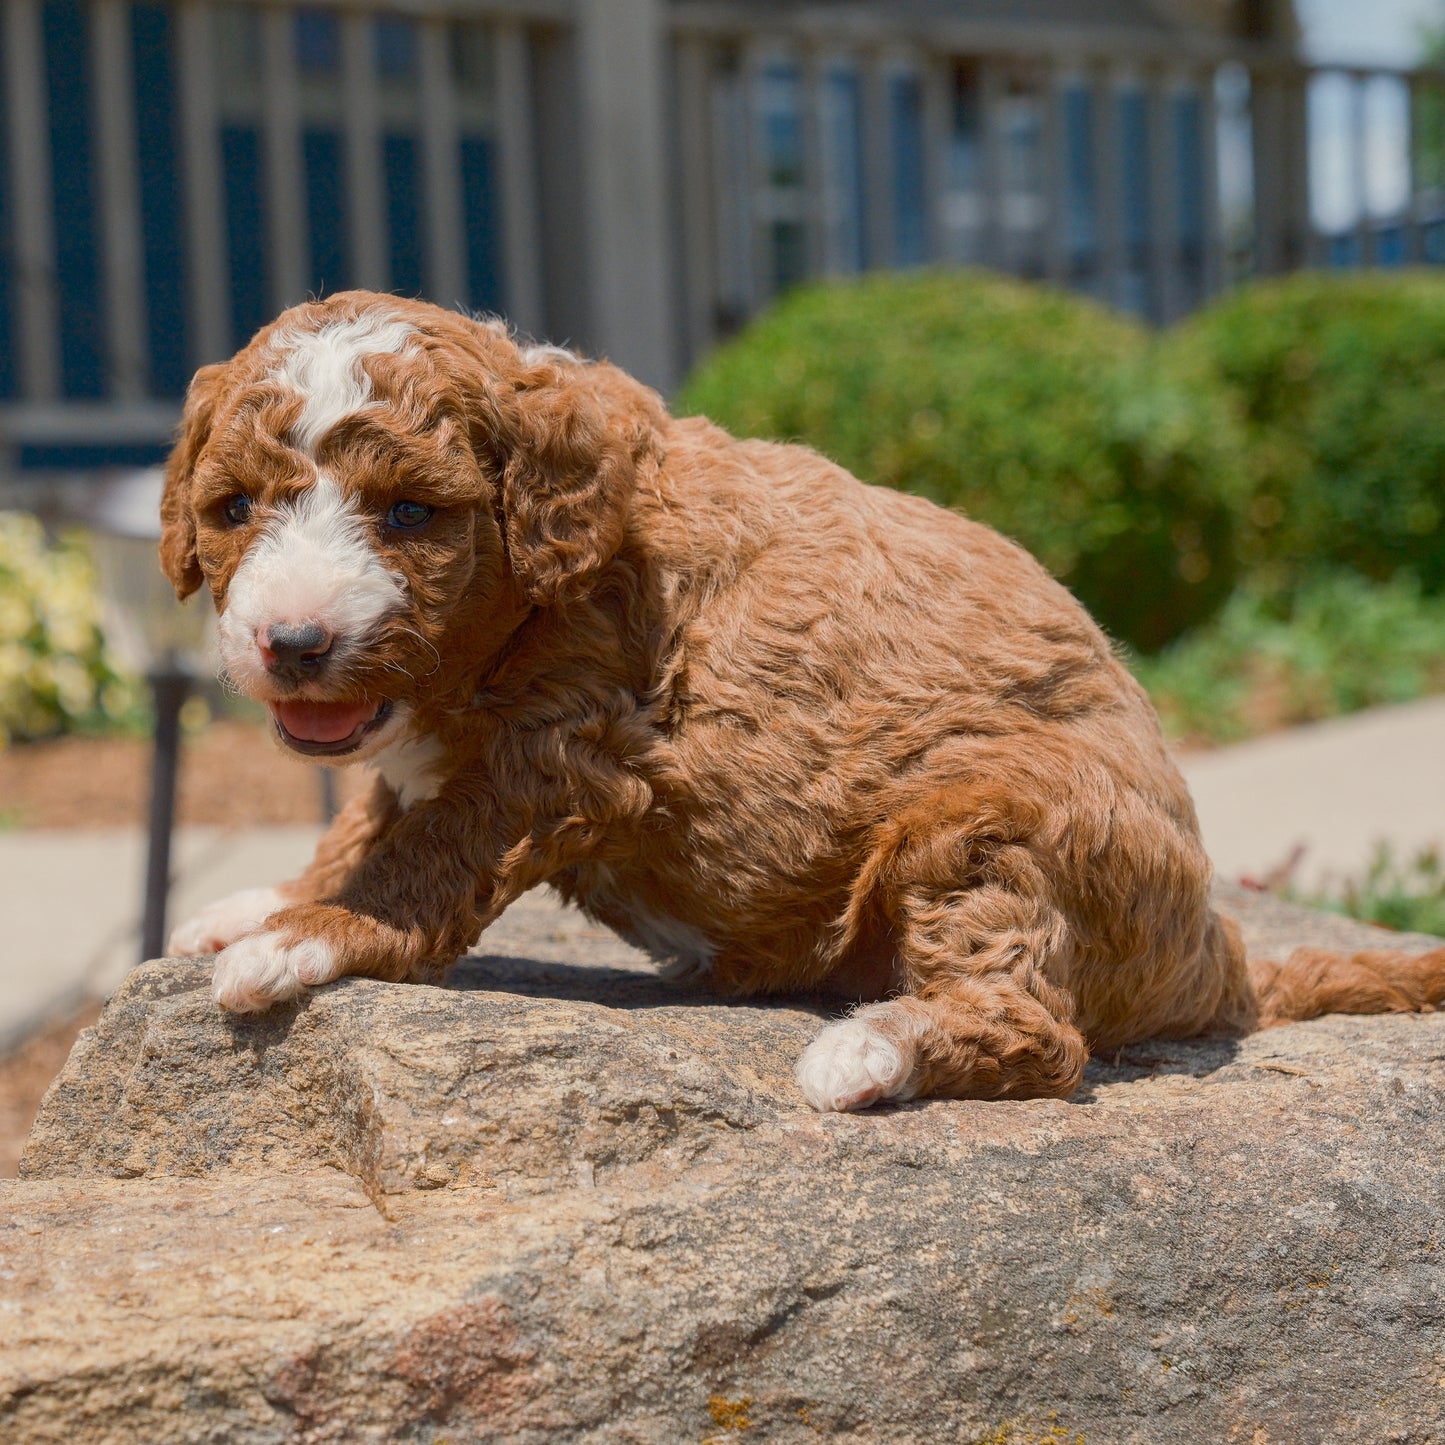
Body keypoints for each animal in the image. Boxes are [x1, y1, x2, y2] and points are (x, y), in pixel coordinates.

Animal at [161, 287, 1445, 1109]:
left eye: (410, 513)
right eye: (233, 509)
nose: (292, 642)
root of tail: (1220, 960)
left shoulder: (569, 747)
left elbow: (426, 852)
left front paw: (310, 939)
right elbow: (372, 820)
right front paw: (275, 899)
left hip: (996, 814)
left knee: (1042, 1033)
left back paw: (869, 1053)